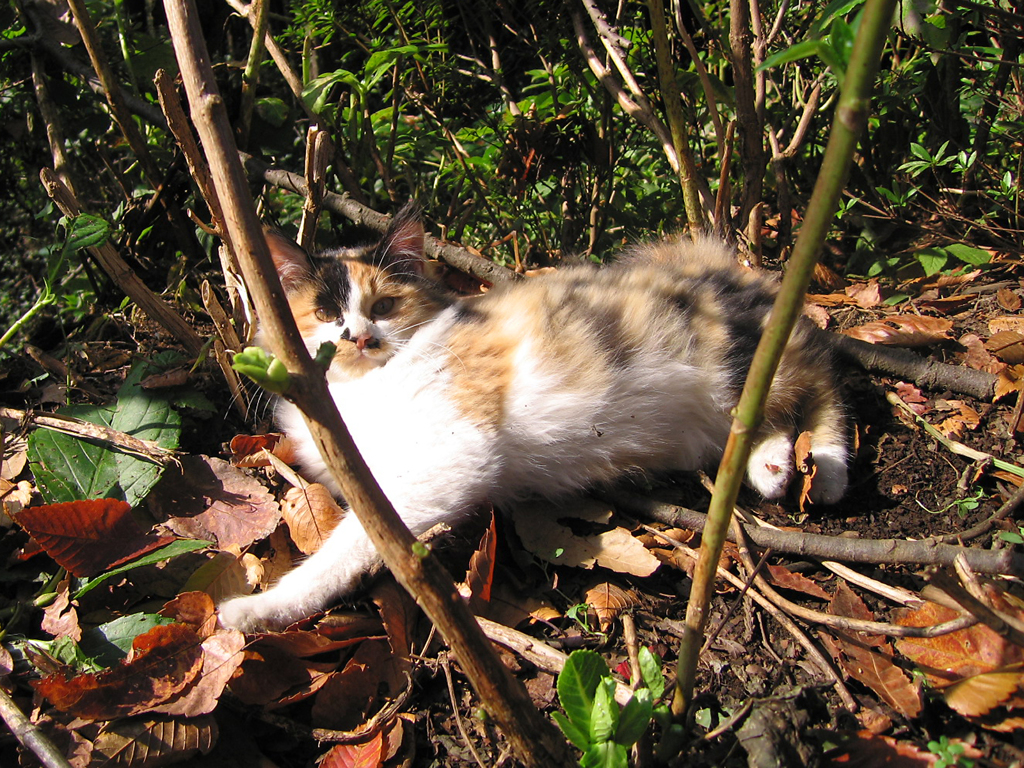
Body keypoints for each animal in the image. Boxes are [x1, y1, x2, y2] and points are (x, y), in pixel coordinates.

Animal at [220, 208, 851, 630]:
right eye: (325, 313)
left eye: (385, 306)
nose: (358, 337)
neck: (358, 394)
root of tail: (728, 266)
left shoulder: (451, 449)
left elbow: (356, 541)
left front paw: (260, 607)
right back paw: (772, 464)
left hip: (740, 360)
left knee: (823, 377)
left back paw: (827, 468)